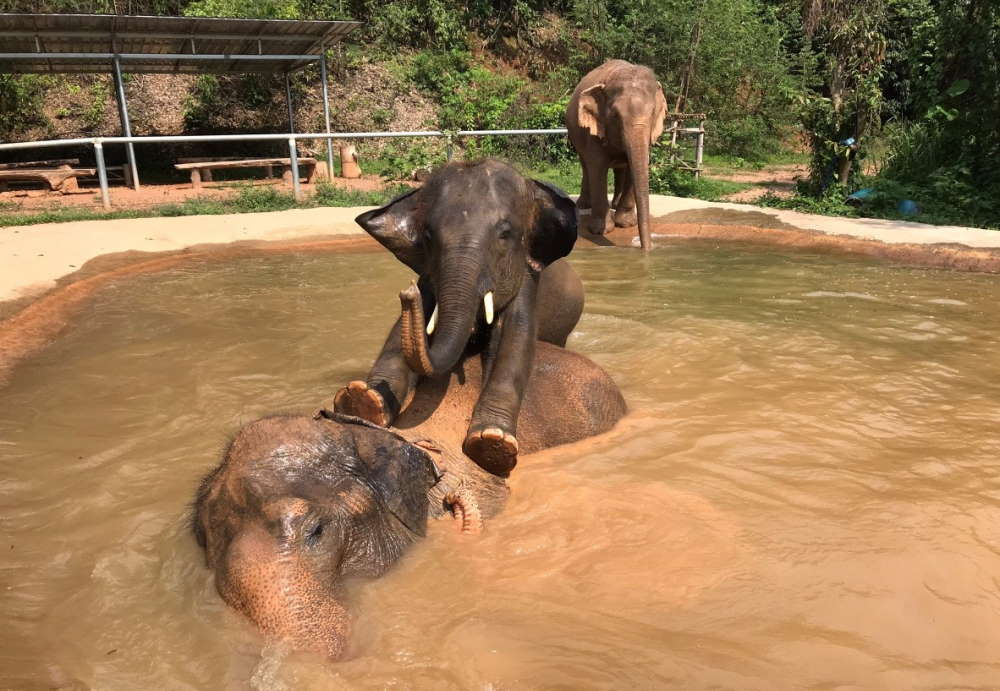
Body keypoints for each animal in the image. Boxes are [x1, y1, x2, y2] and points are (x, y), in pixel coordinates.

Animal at [332, 159, 584, 478]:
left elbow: (516, 339)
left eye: (505, 233)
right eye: (428, 235)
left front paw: (493, 443)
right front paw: (363, 399)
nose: (407, 293)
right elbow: (398, 334)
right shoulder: (429, 275)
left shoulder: (527, 278)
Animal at [568, 58, 668, 250]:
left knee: (619, 169)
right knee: (586, 166)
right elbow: (597, 168)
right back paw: (583, 205)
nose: (646, 250)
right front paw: (600, 231)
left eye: (653, 113)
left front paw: (626, 224)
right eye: (615, 115)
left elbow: (633, 166)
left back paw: (614, 204)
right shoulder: (594, 132)